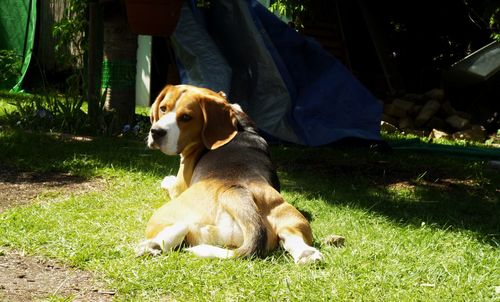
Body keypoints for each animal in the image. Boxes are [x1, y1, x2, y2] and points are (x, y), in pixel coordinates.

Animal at [137, 84, 324, 264]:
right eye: (163, 108)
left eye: (186, 117)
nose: (156, 131)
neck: (240, 126)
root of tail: (234, 192)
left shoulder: (180, 185)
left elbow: (169, 183)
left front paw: (166, 179)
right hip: (292, 217)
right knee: (294, 237)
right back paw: (307, 255)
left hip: (164, 214)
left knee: (177, 227)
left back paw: (152, 246)